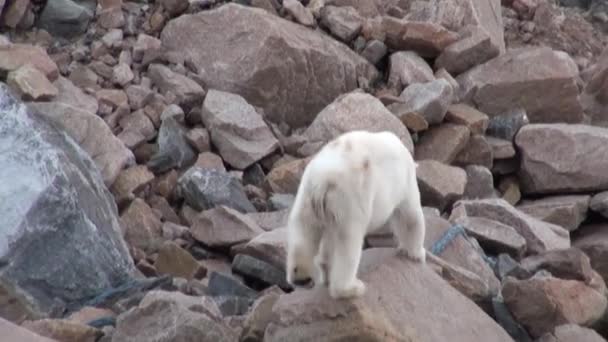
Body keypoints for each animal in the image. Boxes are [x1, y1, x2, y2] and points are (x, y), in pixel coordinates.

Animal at [286, 130, 426, 300]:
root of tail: (322, 183)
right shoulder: (405, 182)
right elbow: (410, 217)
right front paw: (417, 254)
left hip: (306, 197)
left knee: (304, 232)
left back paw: (301, 276)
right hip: (349, 200)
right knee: (349, 243)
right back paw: (352, 288)